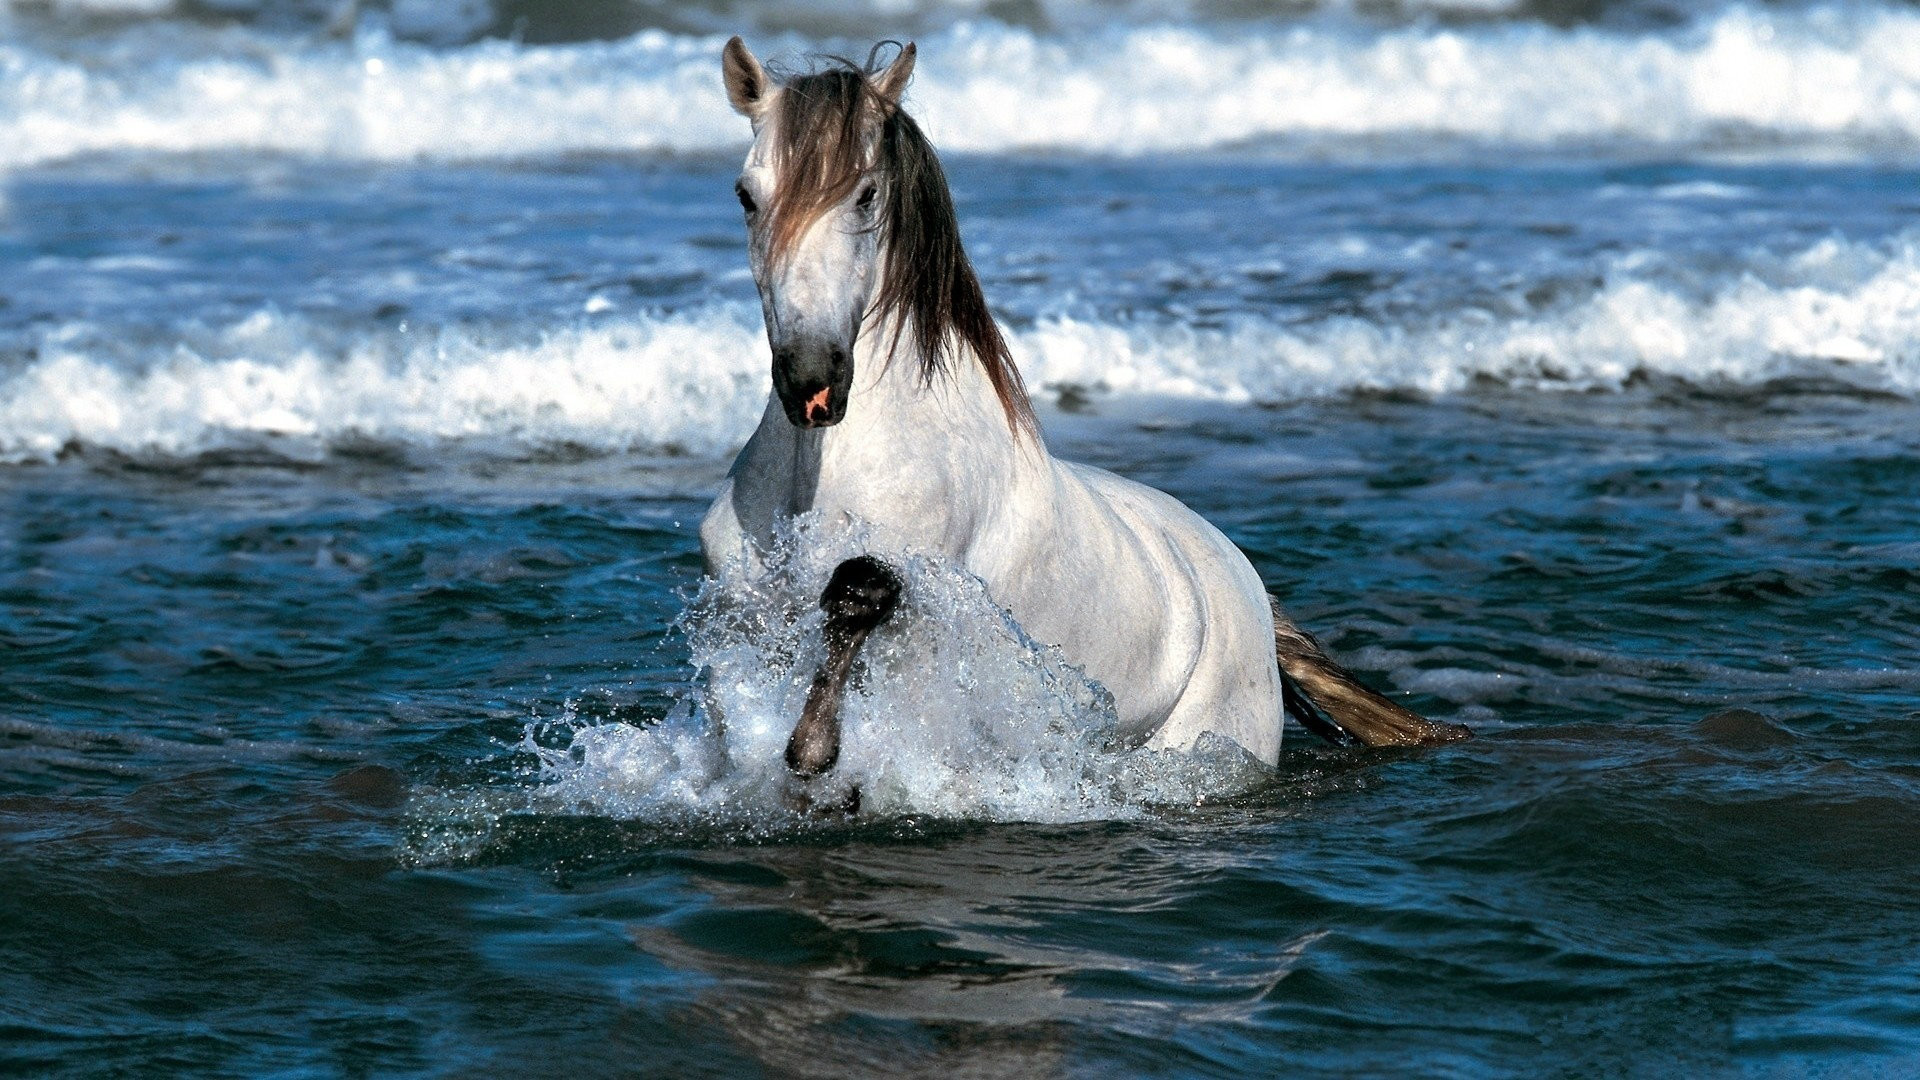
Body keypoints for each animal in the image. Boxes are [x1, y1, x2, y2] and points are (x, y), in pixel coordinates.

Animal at [706, 37, 1466, 776]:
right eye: (745, 194)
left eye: (865, 195)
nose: (811, 380)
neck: (820, 474)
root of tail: (1249, 589)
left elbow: (859, 593)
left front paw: (814, 753)